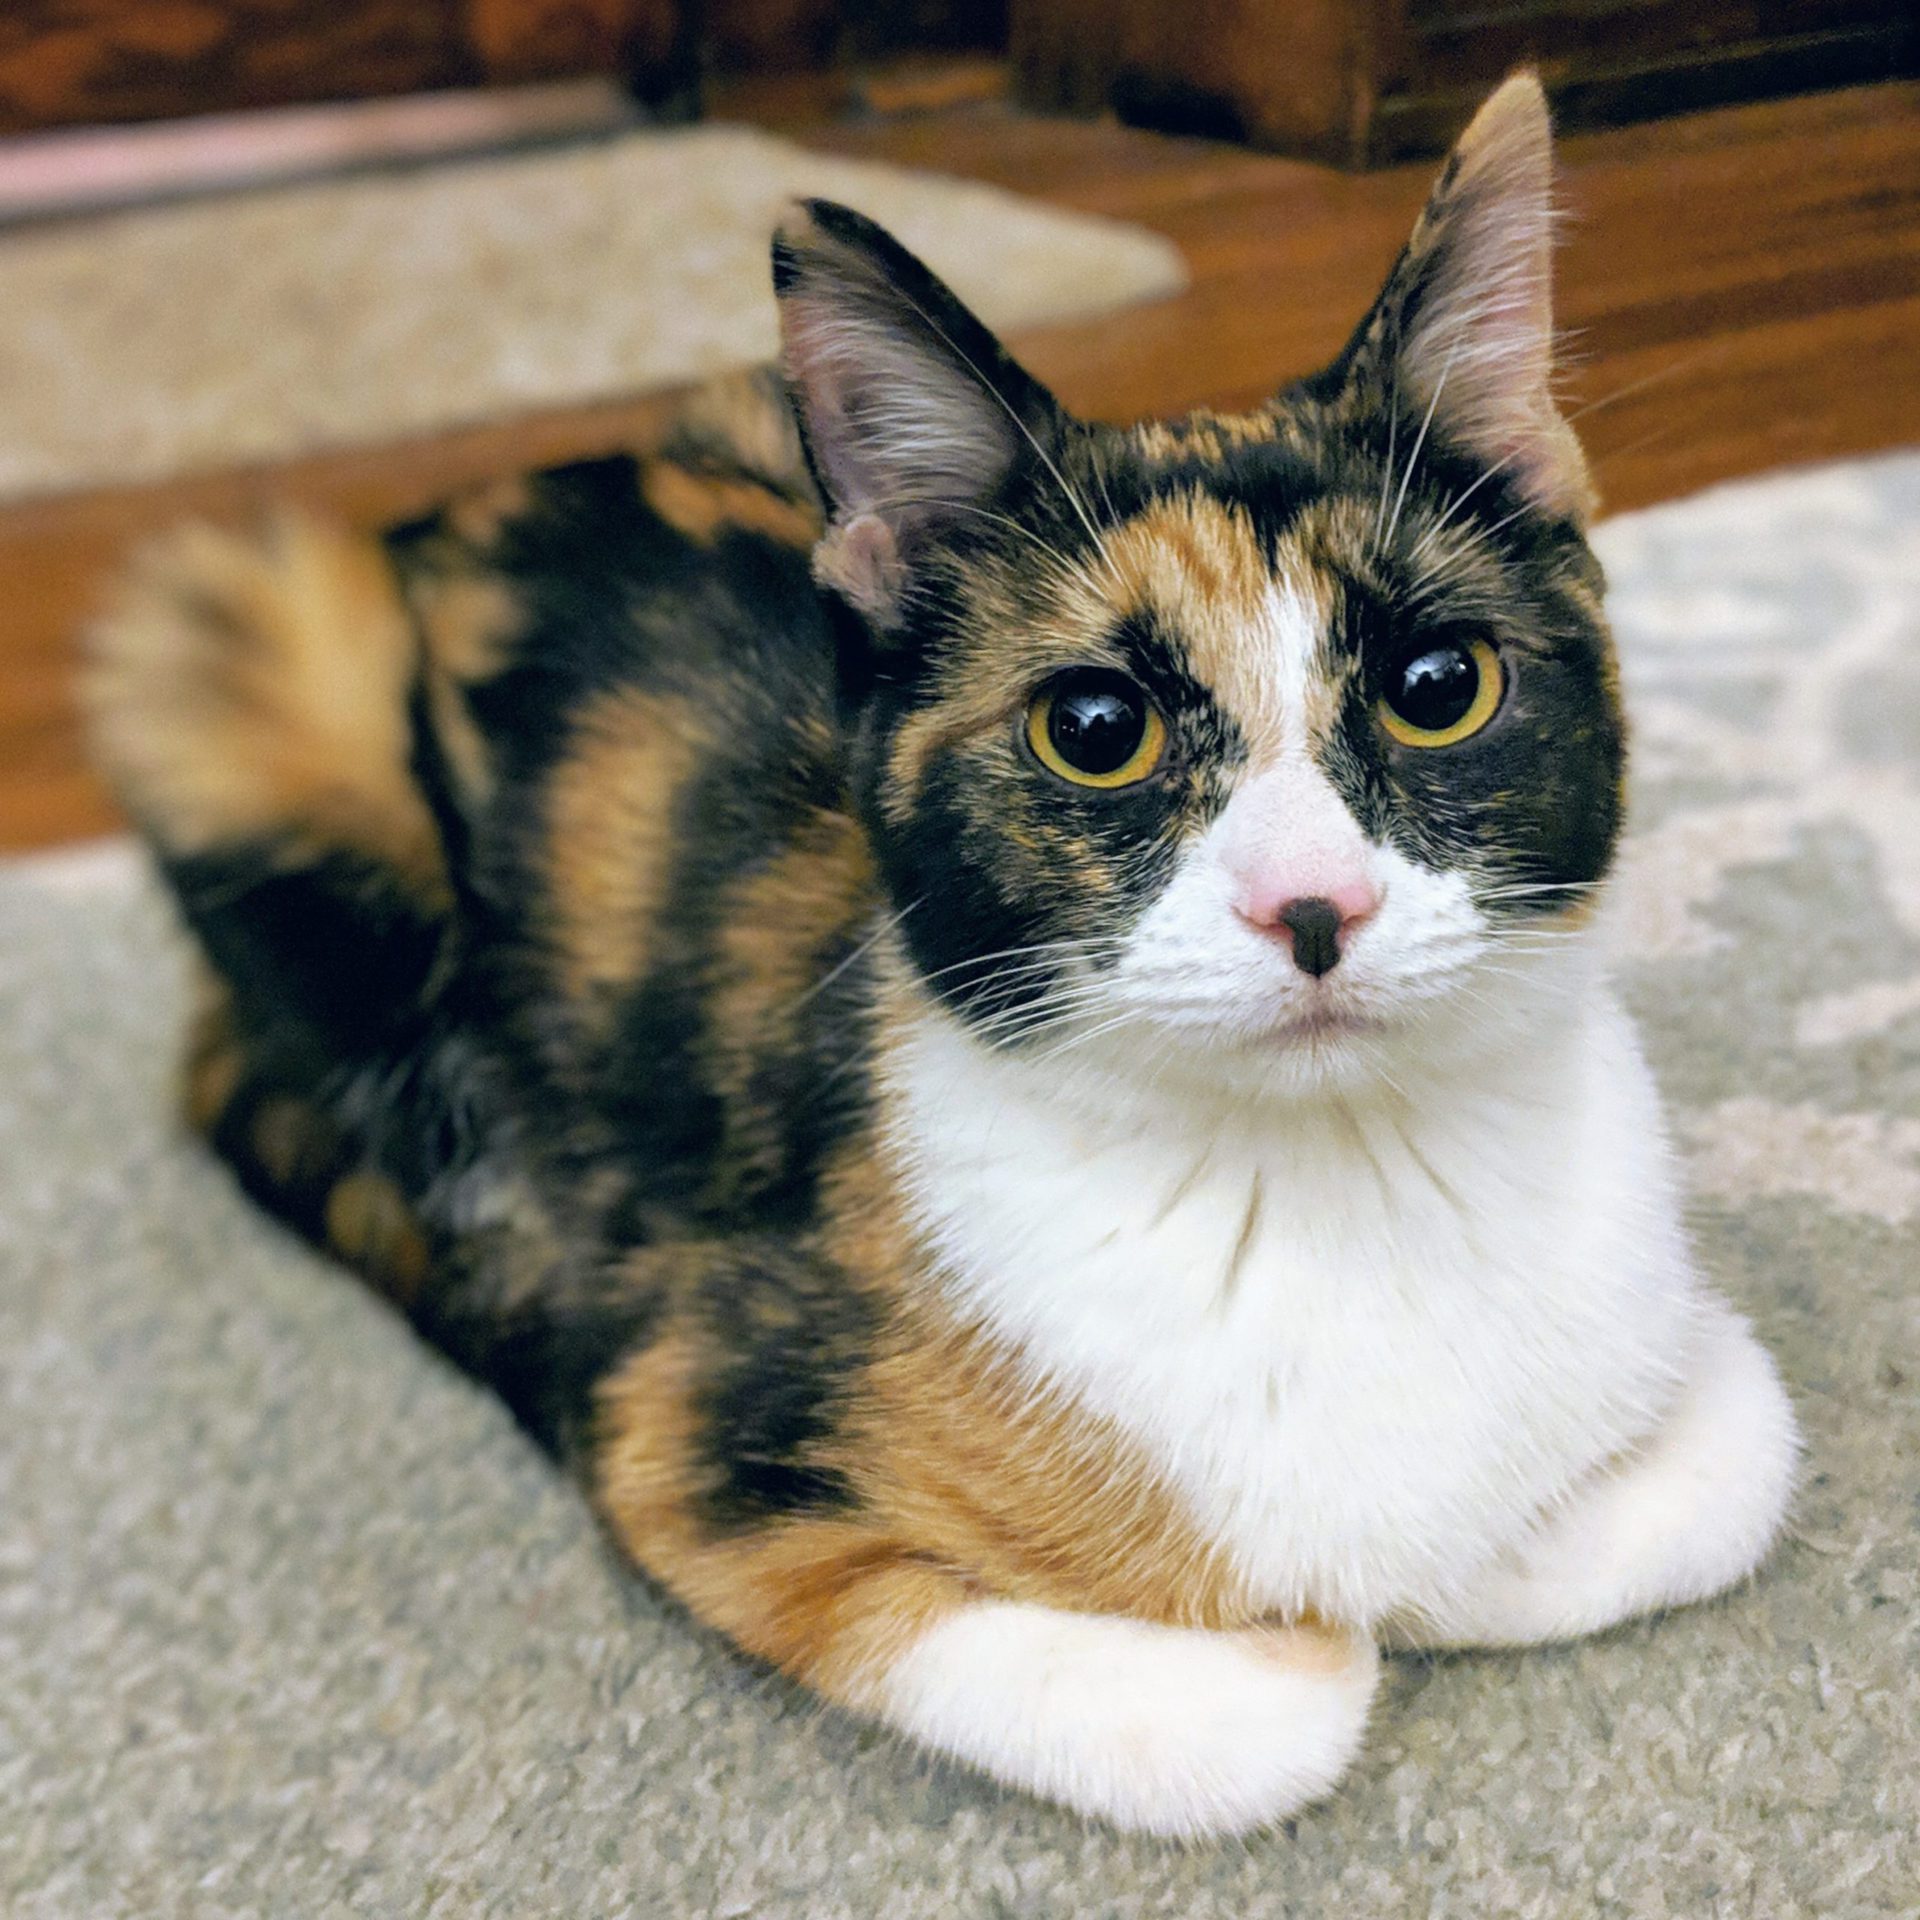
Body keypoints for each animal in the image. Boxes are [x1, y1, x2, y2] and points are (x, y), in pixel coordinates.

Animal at [86, 74, 1797, 1835]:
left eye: (1440, 684)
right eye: (1095, 729)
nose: (1312, 905)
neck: (1336, 1183)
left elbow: (1733, 1463)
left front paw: (1464, 1549)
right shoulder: (679, 1408)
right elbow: (1264, 1708)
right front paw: (1321, 1618)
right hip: (251, 665)